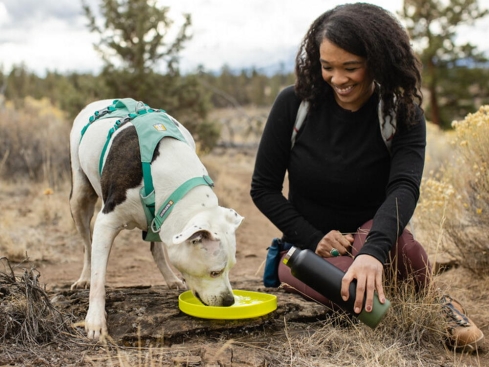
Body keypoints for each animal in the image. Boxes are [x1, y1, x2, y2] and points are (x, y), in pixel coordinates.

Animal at [67, 99, 243, 340]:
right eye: (214, 272)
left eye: (231, 267)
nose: (229, 301)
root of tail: (100, 102)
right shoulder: (106, 222)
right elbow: (98, 277)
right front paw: (95, 320)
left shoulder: (162, 216)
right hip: (79, 197)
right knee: (87, 244)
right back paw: (84, 277)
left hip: (156, 219)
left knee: (156, 248)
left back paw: (170, 278)